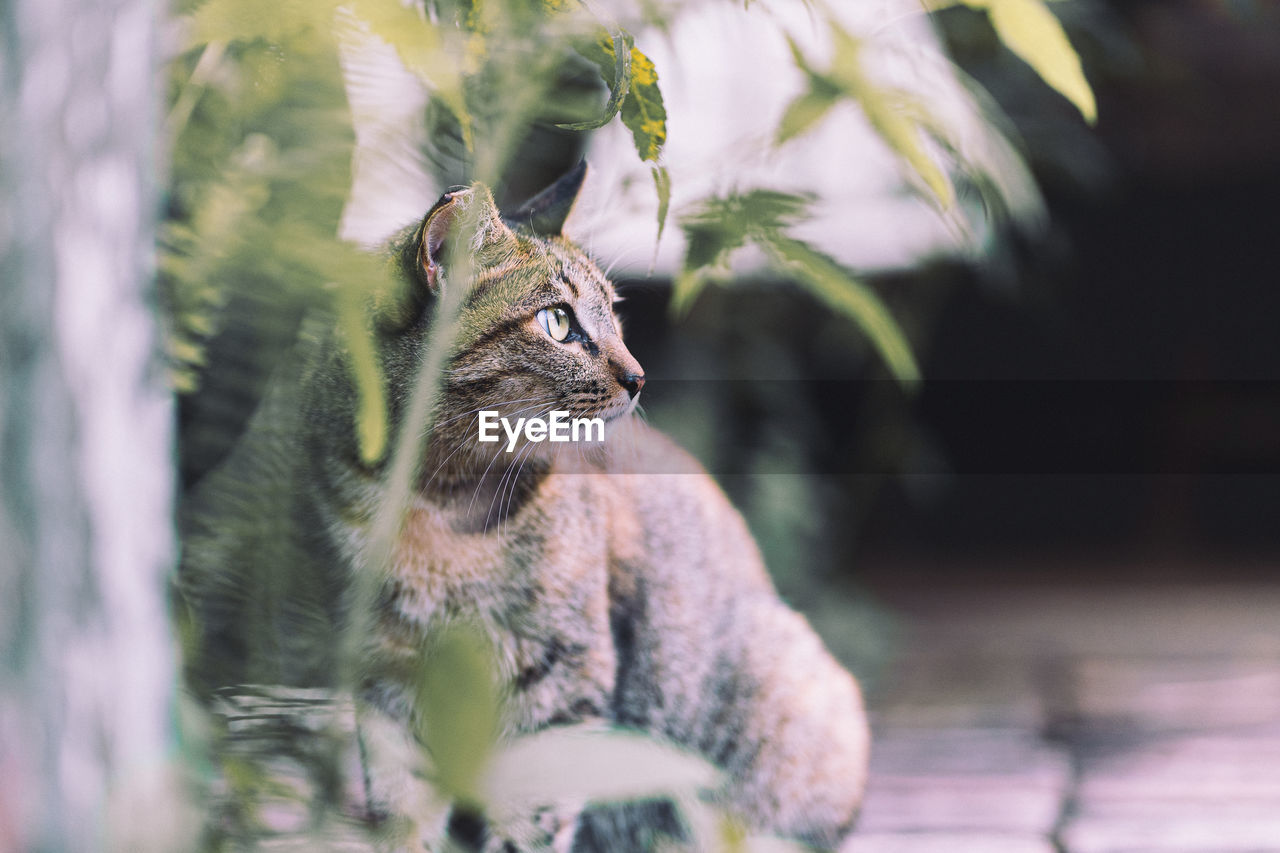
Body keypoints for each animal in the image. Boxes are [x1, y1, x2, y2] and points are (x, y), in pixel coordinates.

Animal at [180, 162, 870, 845]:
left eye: (615, 315)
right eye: (558, 322)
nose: (638, 376)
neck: (434, 497)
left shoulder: (560, 672)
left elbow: (532, 811)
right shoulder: (387, 673)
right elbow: (404, 805)